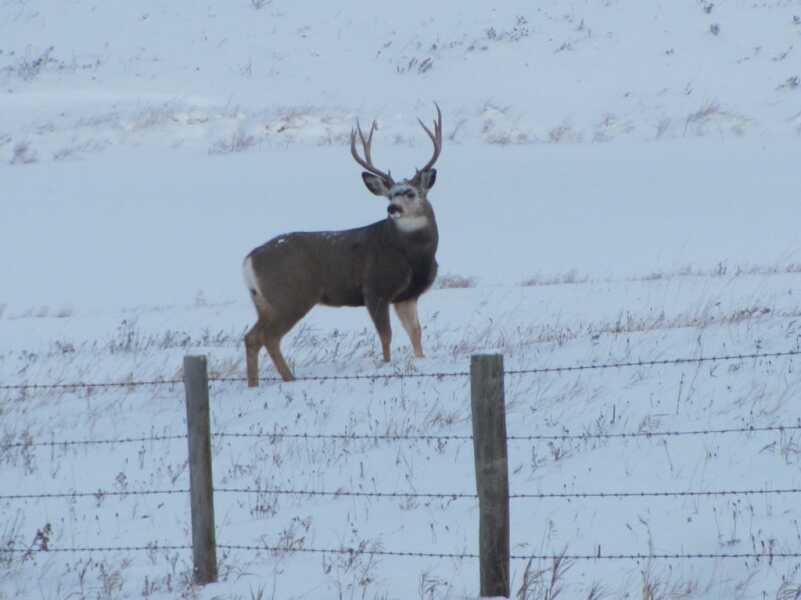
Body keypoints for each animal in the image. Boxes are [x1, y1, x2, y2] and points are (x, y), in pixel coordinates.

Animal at [242, 105, 443, 385]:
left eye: (411, 193)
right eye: (390, 195)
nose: (392, 208)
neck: (413, 256)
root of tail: (248, 260)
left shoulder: (407, 295)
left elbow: (416, 333)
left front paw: (420, 361)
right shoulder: (374, 289)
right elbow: (386, 335)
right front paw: (386, 365)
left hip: (263, 302)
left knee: (252, 337)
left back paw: (256, 384)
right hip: (290, 296)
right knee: (268, 337)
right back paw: (289, 379)